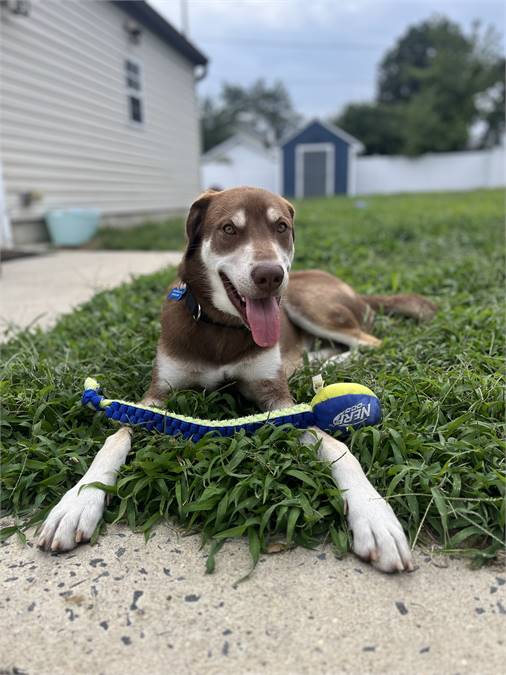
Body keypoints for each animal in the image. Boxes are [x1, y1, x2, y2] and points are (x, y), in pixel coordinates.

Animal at [38, 187, 434, 572]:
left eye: (281, 227)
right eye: (229, 229)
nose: (270, 275)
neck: (221, 326)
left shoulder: (278, 398)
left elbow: (337, 446)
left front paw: (375, 515)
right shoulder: (156, 396)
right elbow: (116, 437)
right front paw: (77, 502)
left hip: (306, 301)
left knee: (371, 341)